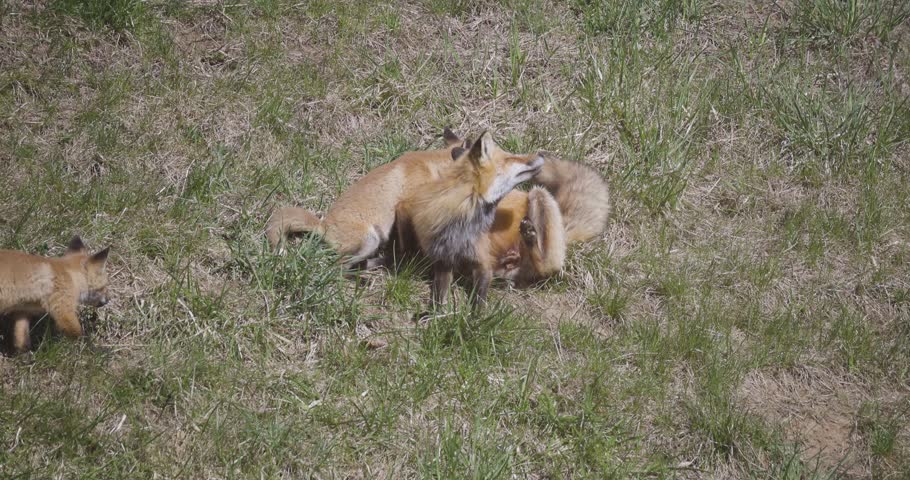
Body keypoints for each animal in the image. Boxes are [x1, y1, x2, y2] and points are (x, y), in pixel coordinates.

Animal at [396, 131, 544, 307]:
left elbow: (478, 301)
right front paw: (437, 312)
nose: (542, 153)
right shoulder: (443, 261)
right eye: (510, 158)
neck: (461, 230)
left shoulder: (484, 264)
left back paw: (529, 235)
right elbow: (439, 299)